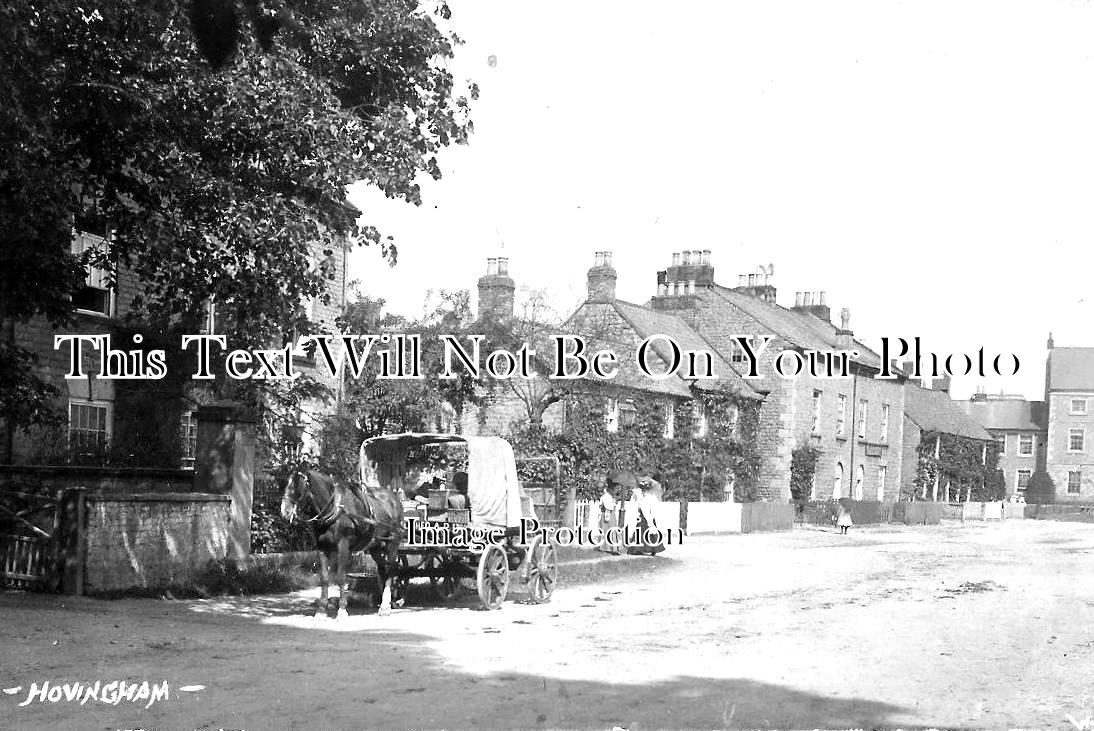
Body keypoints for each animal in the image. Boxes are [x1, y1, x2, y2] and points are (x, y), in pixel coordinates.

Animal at [280, 468, 404, 617]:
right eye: (285, 485)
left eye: (297, 488)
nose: (284, 511)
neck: (335, 508)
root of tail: (394, 499)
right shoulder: (321, 548)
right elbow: (324, 578)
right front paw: (321, 610)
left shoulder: (343, 546)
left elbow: (341, 577)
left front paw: (342, 610)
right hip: (377, 546)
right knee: (382, 570)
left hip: (392, 542)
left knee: (391, 569)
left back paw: (386, 606)